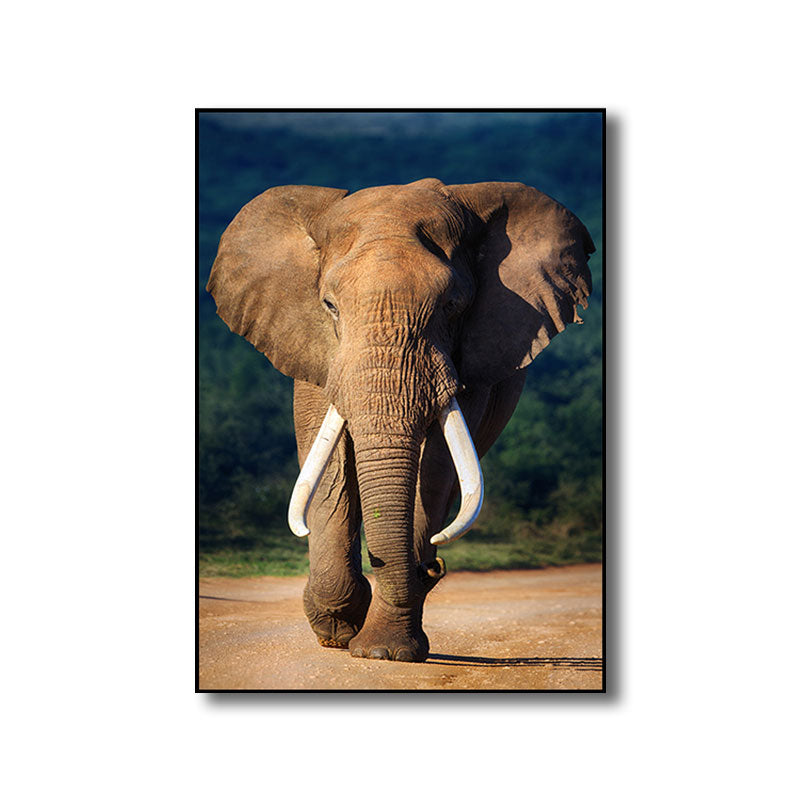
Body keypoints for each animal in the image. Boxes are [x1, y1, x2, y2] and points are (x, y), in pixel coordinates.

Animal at [206, 177, 594, 662]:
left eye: (452, 305)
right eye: (330, 305)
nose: (433, 566)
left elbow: (437, 468)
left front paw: (383, 652)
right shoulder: (313, 347)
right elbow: (328, 460)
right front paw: (339, 629)